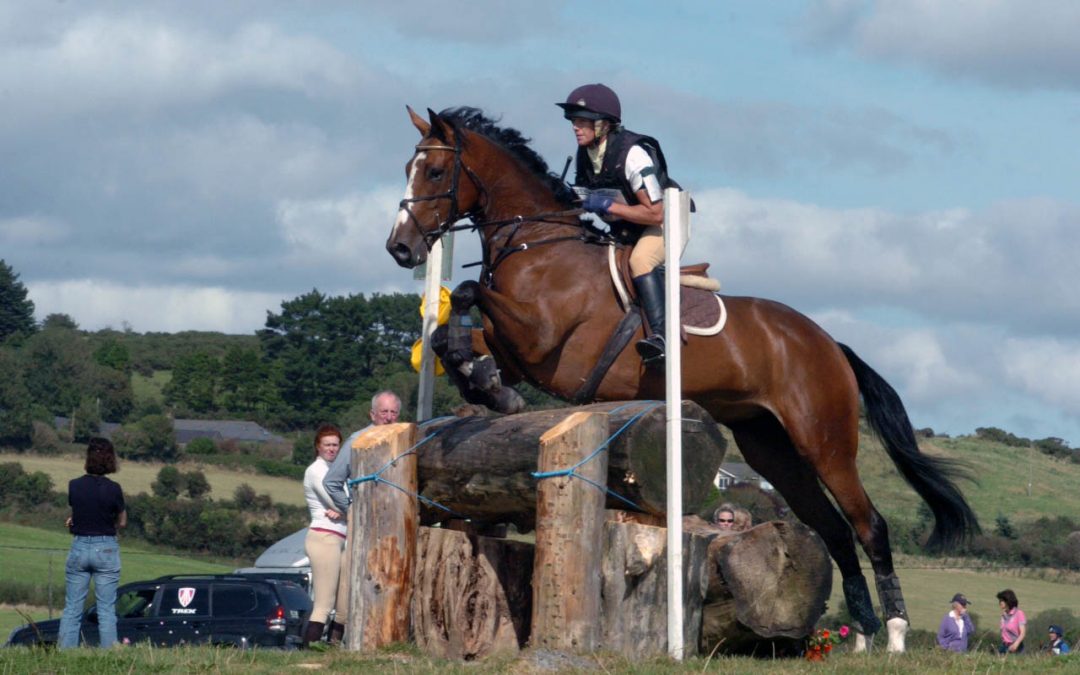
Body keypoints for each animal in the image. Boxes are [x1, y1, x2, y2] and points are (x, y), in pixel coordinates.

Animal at [386, 106, 980, 652]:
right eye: (408, 168)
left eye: (434, 172)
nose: (400, 248)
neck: (537, 243)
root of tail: (827, 343)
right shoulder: (519, 348)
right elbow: (453, 336)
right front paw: (482, 384)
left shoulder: (542, 338)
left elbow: (471, 295)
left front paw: (489, 385)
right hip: (770, 449)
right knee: (832, 528)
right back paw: (861, 633)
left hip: (824, 441)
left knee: (867, 524)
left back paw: (894, 633)